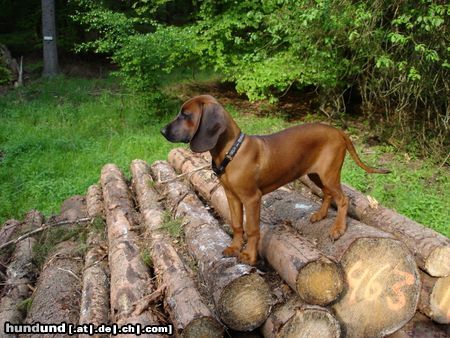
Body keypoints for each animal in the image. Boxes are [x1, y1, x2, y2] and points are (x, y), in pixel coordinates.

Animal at [162, 93, 390, 266]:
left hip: (329, 173)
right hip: (316, 174)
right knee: (327, 193)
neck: (231, 152)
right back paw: (320, 215)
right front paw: (234, 247)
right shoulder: (232, 196)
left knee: (343, 199)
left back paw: (338, 229)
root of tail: (339, 131)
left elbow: (252, 229)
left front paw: (249, 255)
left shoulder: (252, 199)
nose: (162, 130)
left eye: (185, 115)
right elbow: (236, 224)